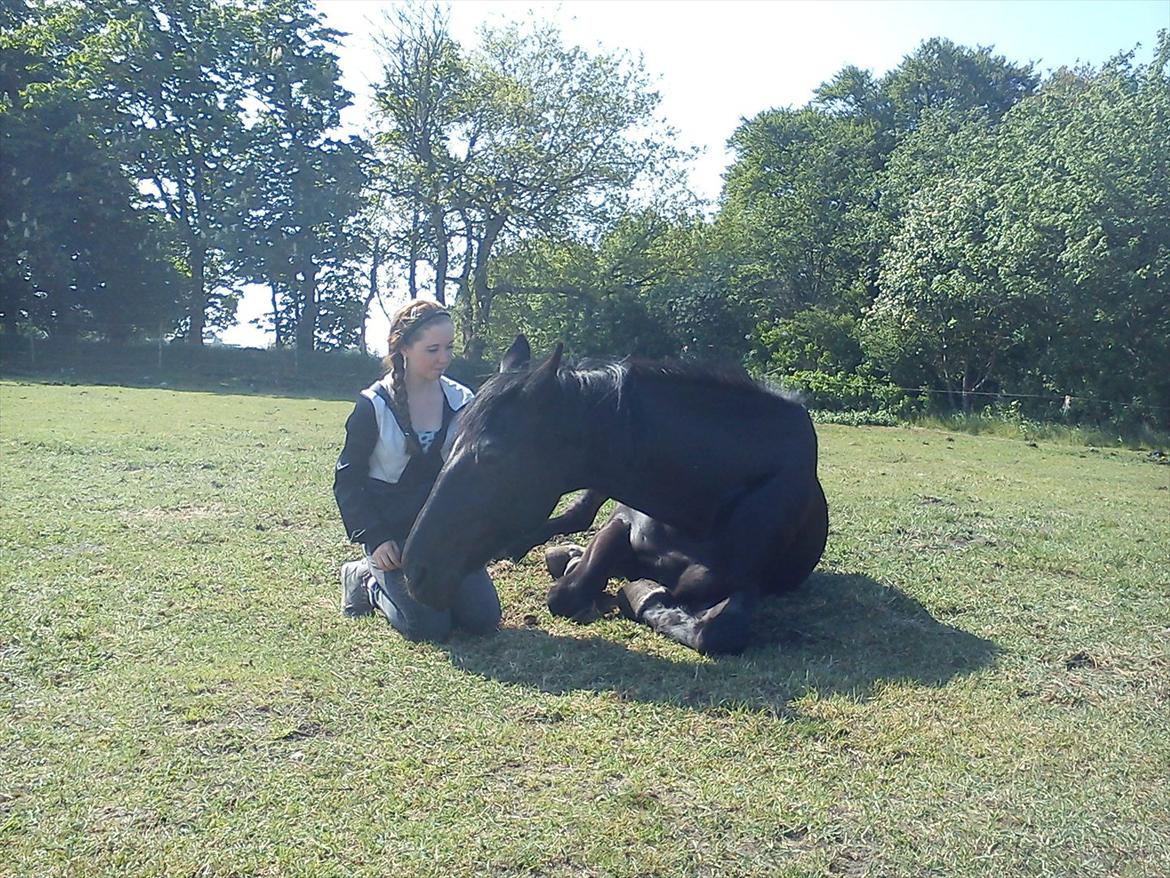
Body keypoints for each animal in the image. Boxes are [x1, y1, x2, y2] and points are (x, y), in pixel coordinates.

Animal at [402, 337, 833, 655]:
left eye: (491, 455)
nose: (415, 571)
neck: (706, 498)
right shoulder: (622, 520)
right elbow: (568, 590)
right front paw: (621, 584)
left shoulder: (746, 582)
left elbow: (718, 633)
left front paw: (642, 593)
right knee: (577, 516)